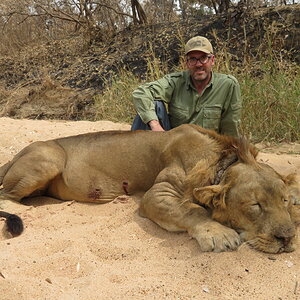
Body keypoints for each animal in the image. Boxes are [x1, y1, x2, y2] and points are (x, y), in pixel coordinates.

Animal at [0, 125, 298, 253]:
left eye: (283, 201)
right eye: (255, 205)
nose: (286, 239)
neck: (223, 159)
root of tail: (14, 156)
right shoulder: (158, 193)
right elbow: (192, 211)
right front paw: (218, 234)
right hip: (48, 158)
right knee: (7, 195)